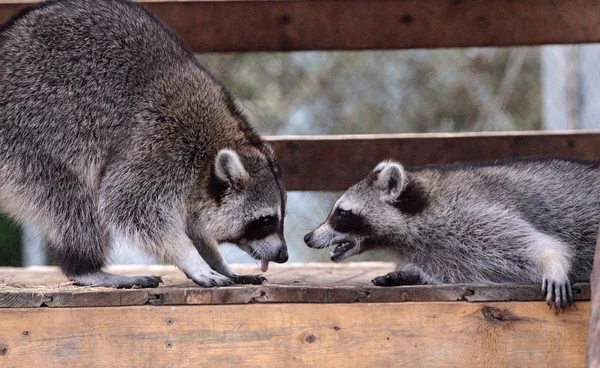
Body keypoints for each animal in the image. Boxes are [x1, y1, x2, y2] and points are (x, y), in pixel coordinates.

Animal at [0, 0, 288, 288]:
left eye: (280, 216)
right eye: (265, 221)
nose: (283, 255)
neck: (215, 149)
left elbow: (193, 225)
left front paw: (217, 261)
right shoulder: (161, 146)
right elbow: (129, 205)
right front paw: (191, 259)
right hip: (29, 137)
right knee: (75, 201)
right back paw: (86, 267)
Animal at [304, 159, 600, 310]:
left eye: (340, 213)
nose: (307, 237)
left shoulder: (475, 215)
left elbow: (538, 245)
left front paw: (552, 261)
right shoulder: (444, 252)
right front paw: (412, 273)